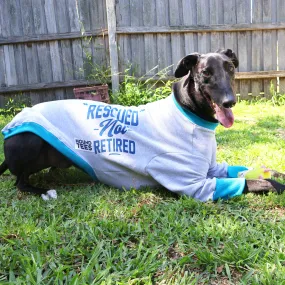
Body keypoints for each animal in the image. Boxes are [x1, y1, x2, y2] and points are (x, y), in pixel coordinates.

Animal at [0, 48, 284, 200]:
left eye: (231, 68)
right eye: (205, 73)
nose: (229, 102)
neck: (188, 114)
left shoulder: (213, 168)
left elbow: (251, 171)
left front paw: (275, 172)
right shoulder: (195, 185)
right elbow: (254, 182)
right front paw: (277, 185)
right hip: (29, 141)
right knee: (20, 182)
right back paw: (43, 190)